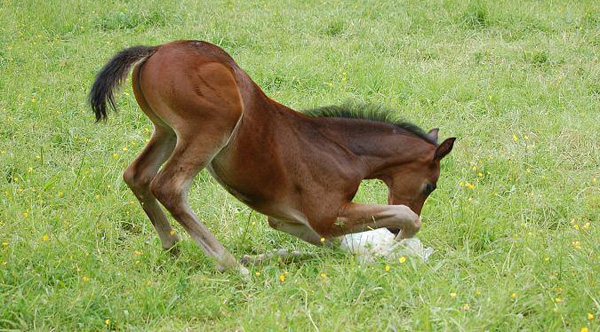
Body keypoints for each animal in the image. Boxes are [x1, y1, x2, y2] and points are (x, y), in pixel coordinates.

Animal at [89, 40, 454, 274]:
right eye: (430, 187)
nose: (389, 234)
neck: (343, 149)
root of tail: (155, 51)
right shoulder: (326, 213)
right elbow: (408, 217)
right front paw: (394, 247)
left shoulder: (288, 219)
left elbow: (333, 246)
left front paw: (266, 257)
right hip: (212, 127)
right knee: (169, 187)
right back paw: (229, 265)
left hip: (165, 131)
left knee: (137, 175)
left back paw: (173, 246)